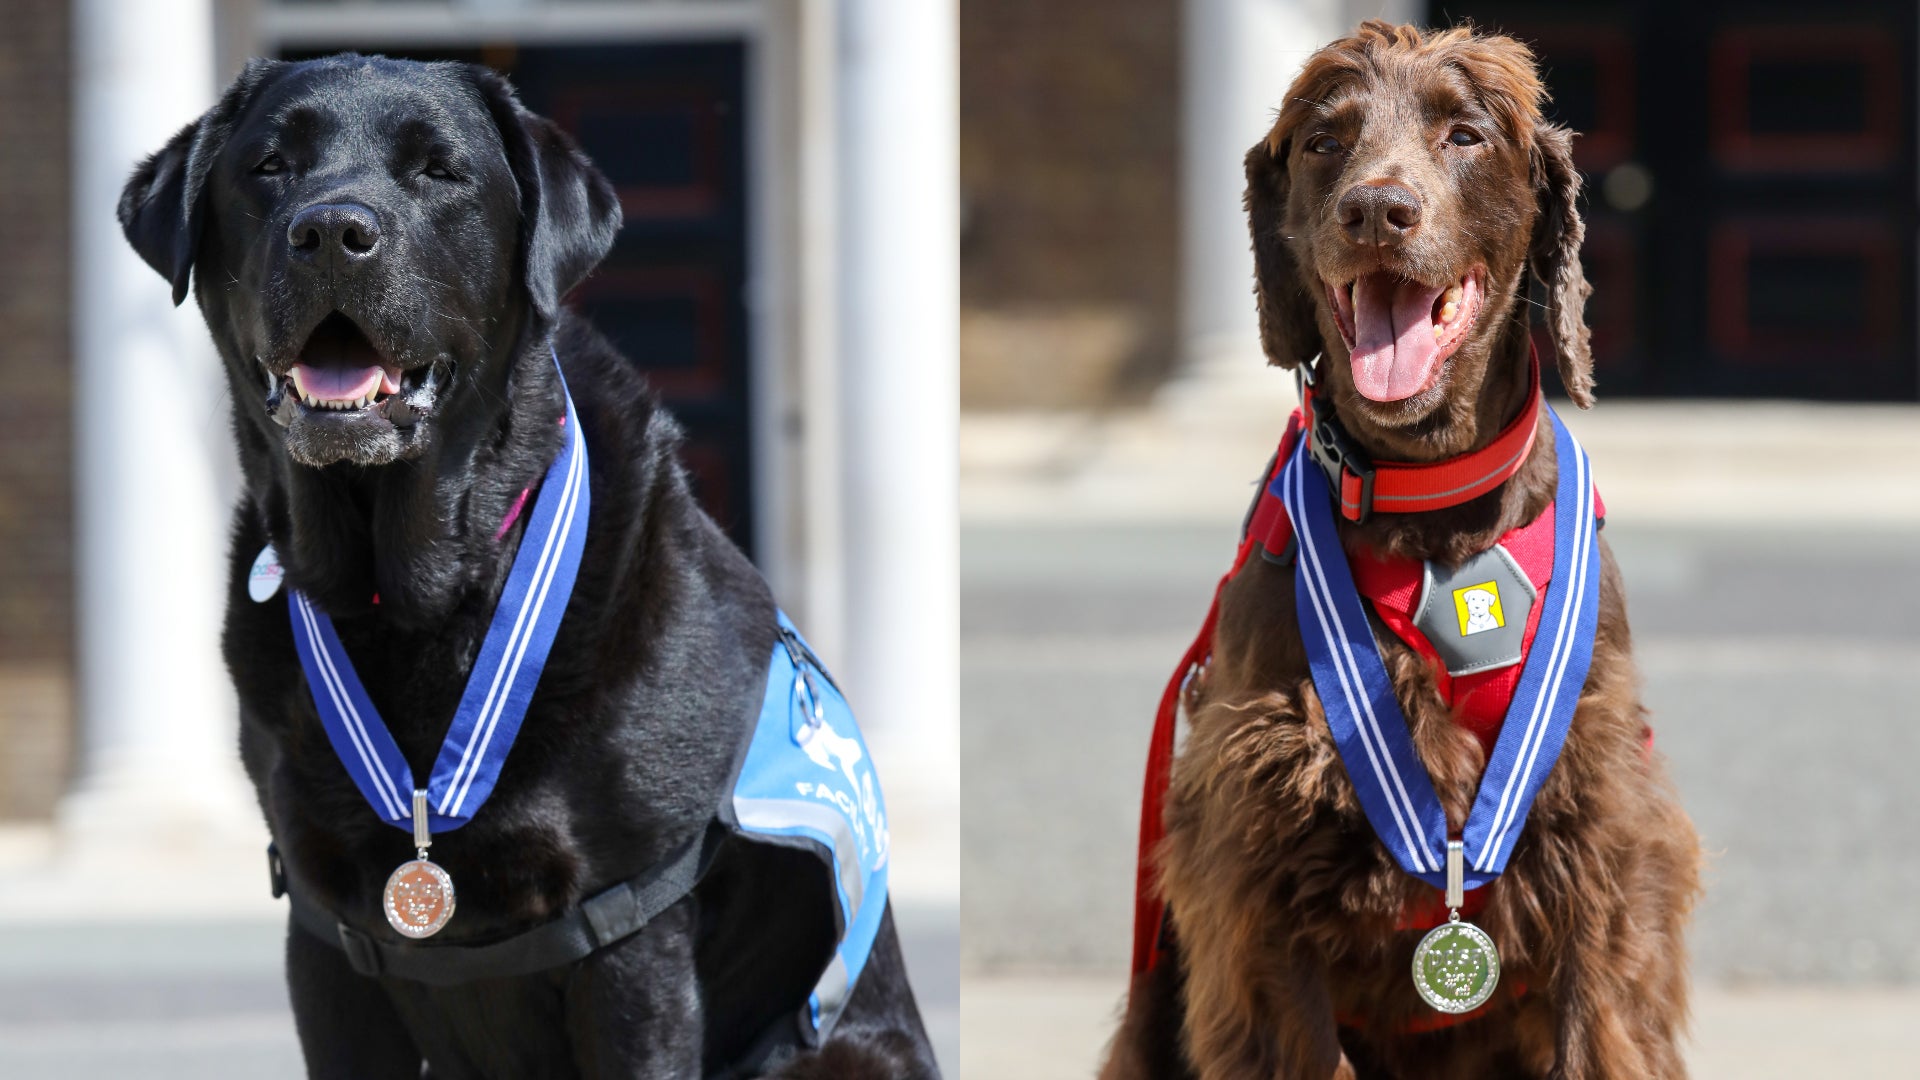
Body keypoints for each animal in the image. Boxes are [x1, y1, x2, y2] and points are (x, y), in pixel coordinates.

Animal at [118, 52, 936, 1076]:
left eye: (439, 170)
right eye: (268, 165)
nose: (332, 231)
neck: (418, 596)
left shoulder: (629, 934)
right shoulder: (326, 939)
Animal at [1105, 23, 1704, 1076]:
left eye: (1464, 134)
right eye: (1322, 143)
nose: (1377, 212)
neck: (1434, 509)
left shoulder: (1604, 839)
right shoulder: (1259, 863)